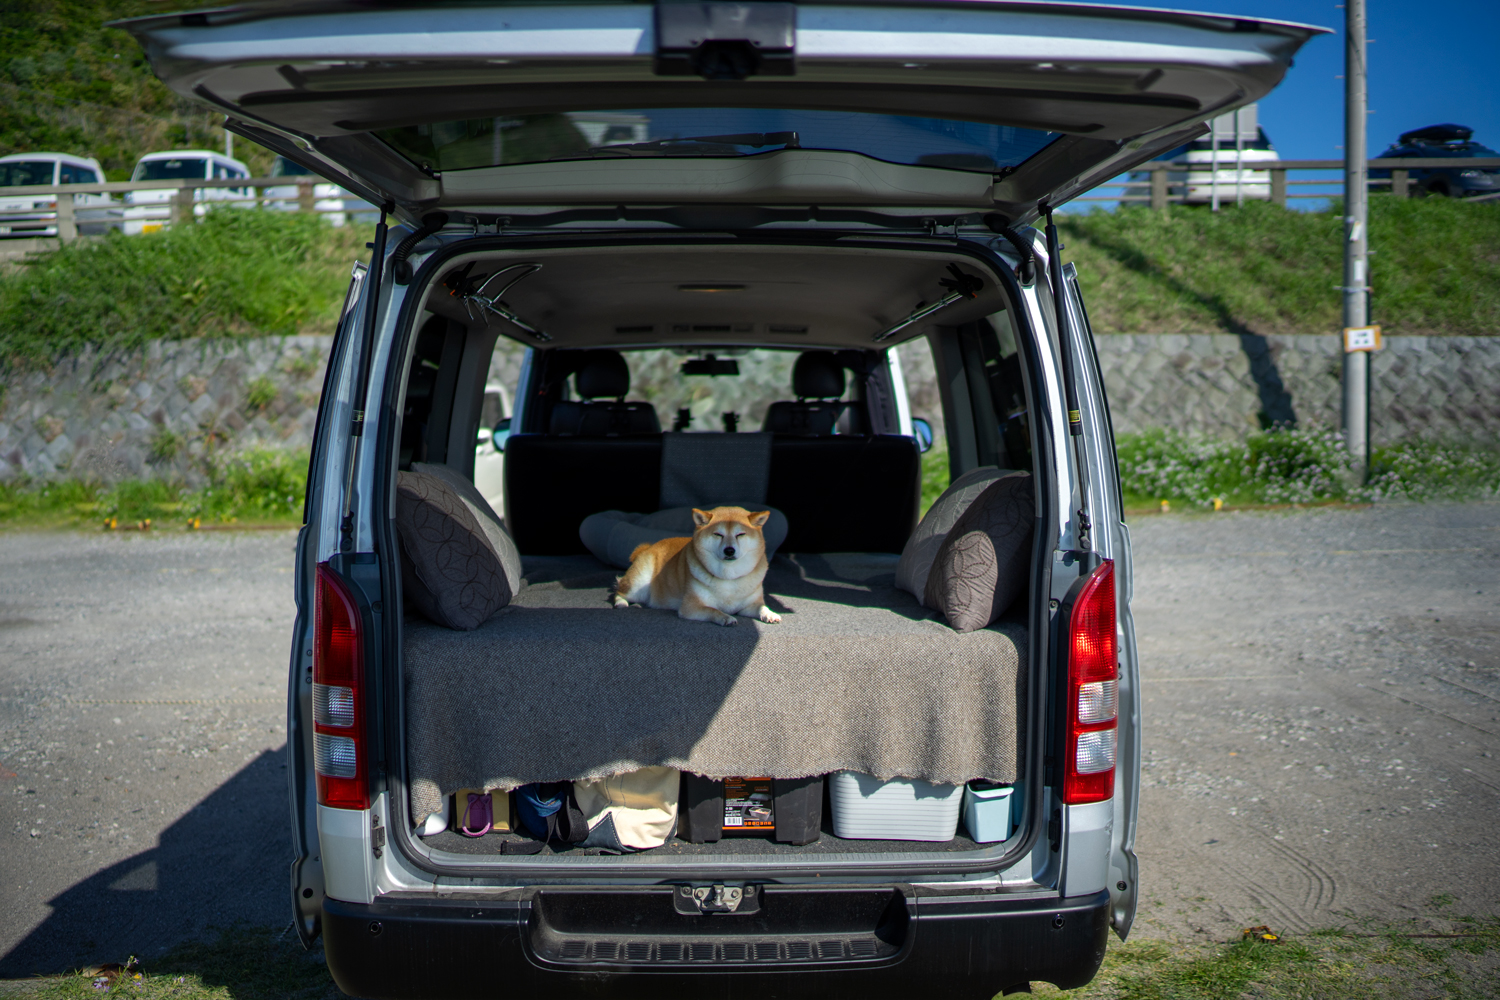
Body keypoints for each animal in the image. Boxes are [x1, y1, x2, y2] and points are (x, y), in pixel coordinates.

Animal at [609, 509, 780, 626]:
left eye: (741, 534)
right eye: (718, 534)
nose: (729, 550)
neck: (728, 577)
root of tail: (648, 547)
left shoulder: (749, 606)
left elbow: (761, 607)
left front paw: (770, 614)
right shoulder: (691, 607)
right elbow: (713, 610)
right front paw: (725, 617)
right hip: (639, 584)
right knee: (619, 591)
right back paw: (622, 603)